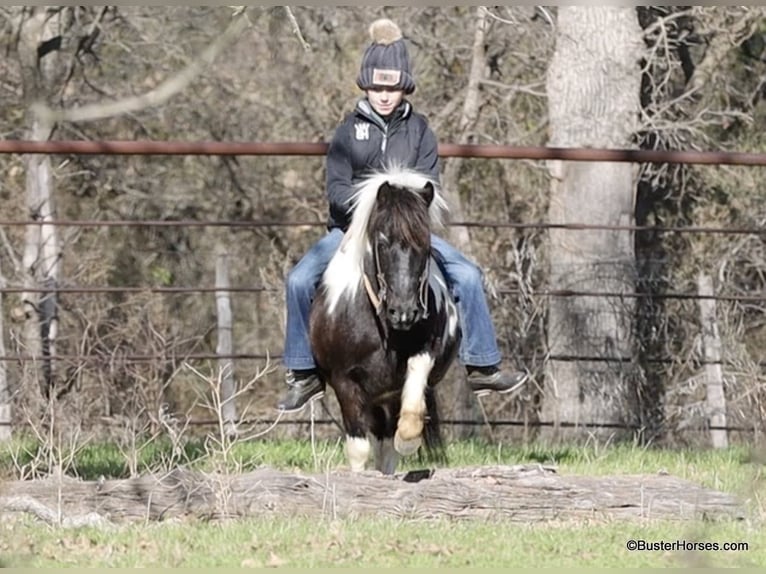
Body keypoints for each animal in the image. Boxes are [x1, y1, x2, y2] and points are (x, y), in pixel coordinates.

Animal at [309, 166, 461, 475]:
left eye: (425, 244)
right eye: (381, 243)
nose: (403, 313)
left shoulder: (422, 356)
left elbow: (416, 376)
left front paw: (409, 435)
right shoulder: (345, 382)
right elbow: (358, 448)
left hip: (385, 399)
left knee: (387, 448)